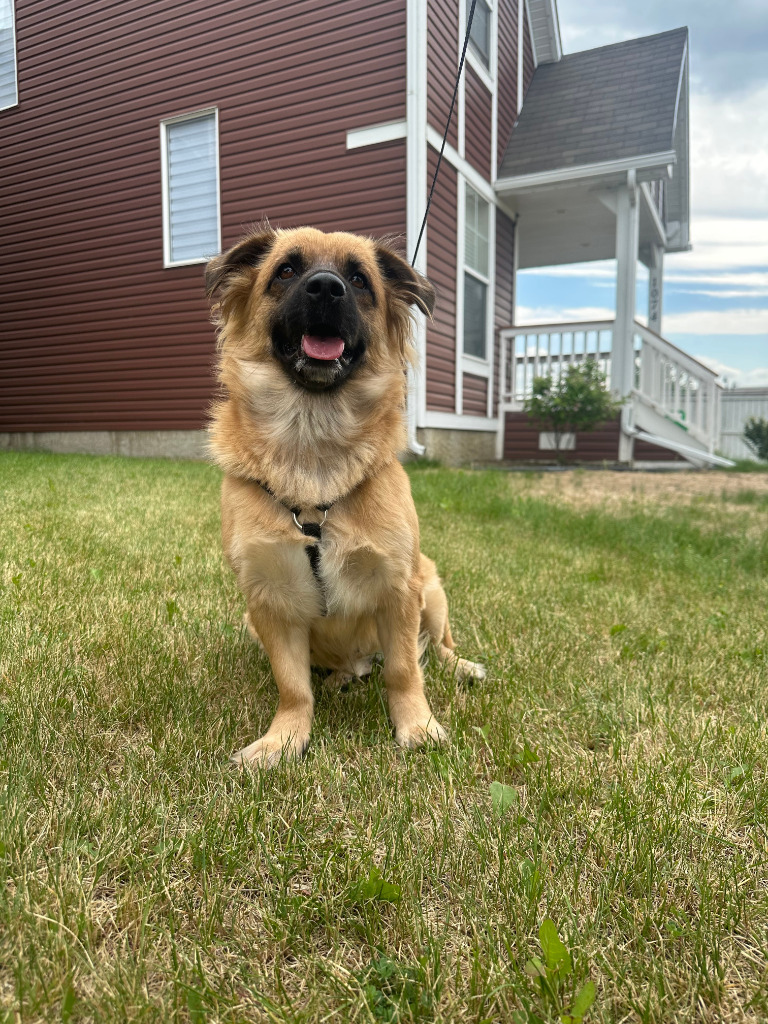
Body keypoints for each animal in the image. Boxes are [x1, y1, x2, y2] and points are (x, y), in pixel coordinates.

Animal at [207, 226, 483, 770]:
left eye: (359, 279)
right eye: (286, 270)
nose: (325, 290)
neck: (312, 440)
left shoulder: (400, 588)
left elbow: (404, 670)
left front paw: (417, 726)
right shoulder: (268, 599)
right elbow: (293, 686)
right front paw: (284, 738)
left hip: (432, 586)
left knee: (438, 647)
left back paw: (460, 666)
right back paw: (340, 678)